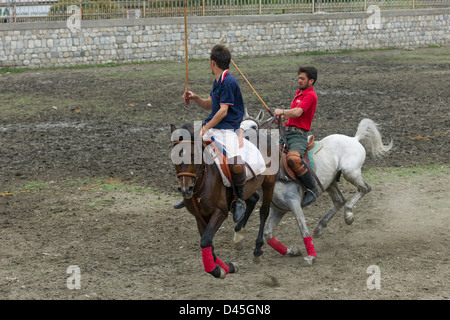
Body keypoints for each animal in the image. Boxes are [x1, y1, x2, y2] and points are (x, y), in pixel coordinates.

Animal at [170, 124, 278, 278]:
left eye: (193, 155)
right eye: (174, 156)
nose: (186, 189)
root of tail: (263, 134)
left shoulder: (220, 212)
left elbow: (205, 241)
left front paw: (218, 270)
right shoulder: (199, 216)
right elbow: (208, 242)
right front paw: (227, 268)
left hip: (269, 182)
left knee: (264, 211)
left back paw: (257, 249)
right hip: (250, 187)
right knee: (252, 199)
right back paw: (239, 231)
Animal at [241, 114, 392, 266]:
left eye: (254, 128)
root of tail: (354, 138)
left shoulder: (294, 203)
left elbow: (303, 230)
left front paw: (311, 256)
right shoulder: (279, 209)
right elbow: (267, 234)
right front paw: (292, 251)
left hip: (350, 173)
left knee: (364, 188)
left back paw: (348, 215)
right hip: (330, 182)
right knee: (339, 200)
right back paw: (320, 227)